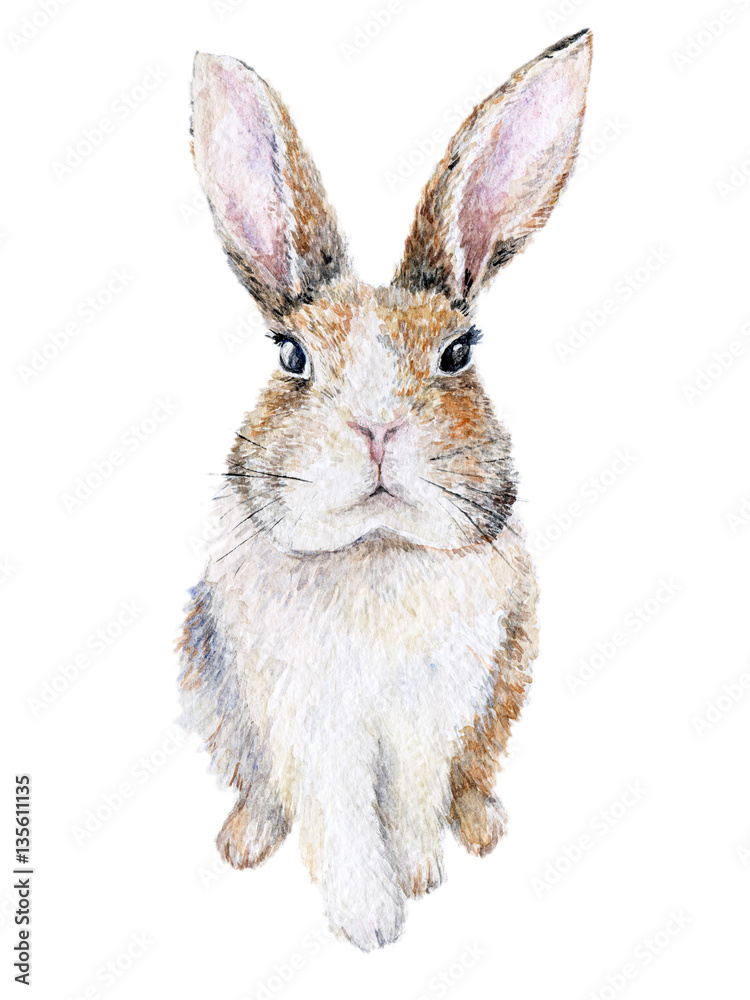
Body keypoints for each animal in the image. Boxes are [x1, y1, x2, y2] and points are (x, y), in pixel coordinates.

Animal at [179, 30, 592, 951]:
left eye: (459, 352)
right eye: (291, 355)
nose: (376, 429)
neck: (374, 551)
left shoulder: (436, 709)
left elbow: (410, 796)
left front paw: (418, 876)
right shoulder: (309, 716)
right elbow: (340, 814)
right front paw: (369, 924)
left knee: (469, 777)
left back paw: (481, 827)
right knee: (259, 787)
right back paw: (241, 841)